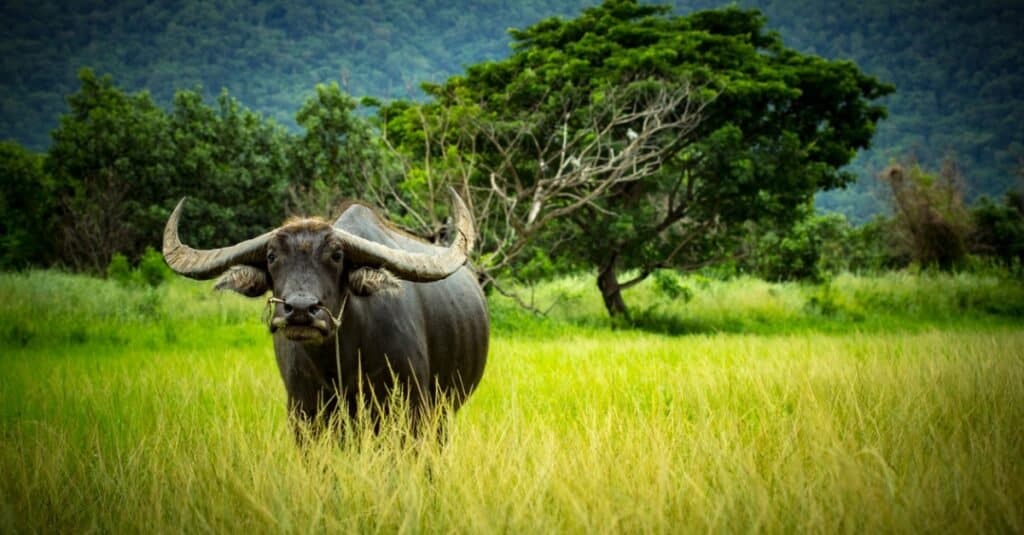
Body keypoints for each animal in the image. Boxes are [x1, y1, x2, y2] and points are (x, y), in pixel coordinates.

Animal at [161, 189, 489, 434]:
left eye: (337, 255)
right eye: (271, 256)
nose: (300, 310)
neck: (339, 364)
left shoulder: (409, 412)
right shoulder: (304, 416)